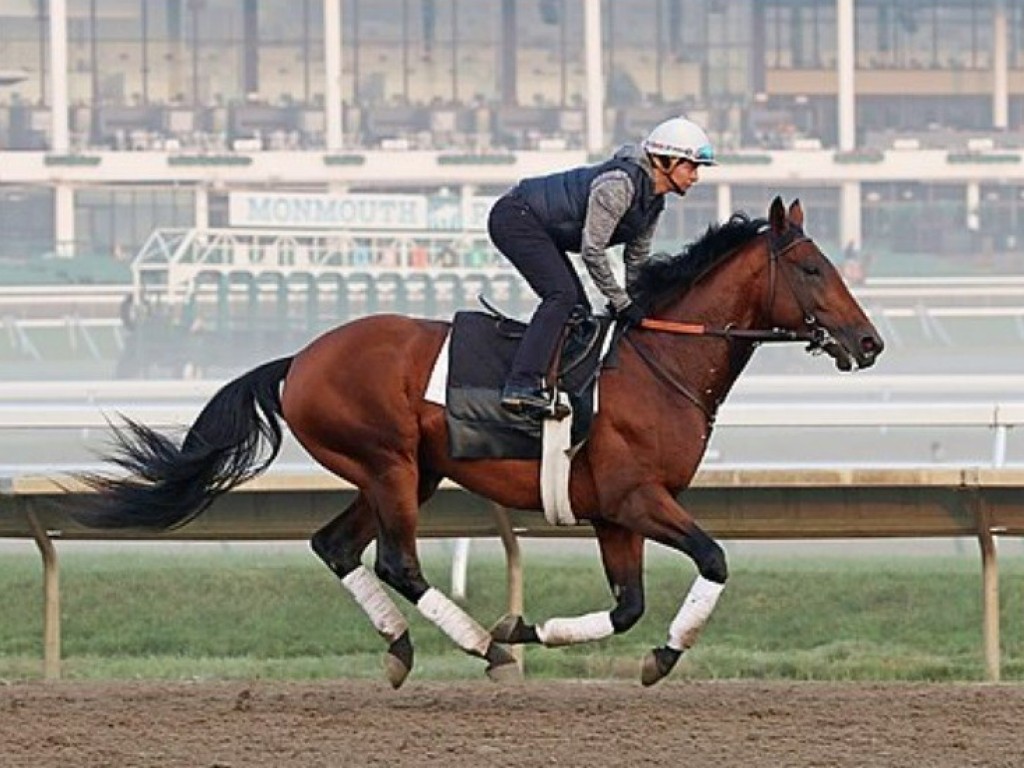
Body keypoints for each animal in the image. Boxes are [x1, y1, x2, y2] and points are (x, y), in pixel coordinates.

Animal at [77, 195, 880, 688]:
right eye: (813, 268)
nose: (869, 342)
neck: (661, 362)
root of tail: (299, 359)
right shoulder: (637, 498)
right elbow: (712, 560)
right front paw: (654, 656)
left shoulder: (613, 514)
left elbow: (627, 606)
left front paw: (529, 629)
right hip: (388, 464)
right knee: (396, 561)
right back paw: (476, 644)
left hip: (405, 473)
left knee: (336, 546)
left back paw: (405, 647)